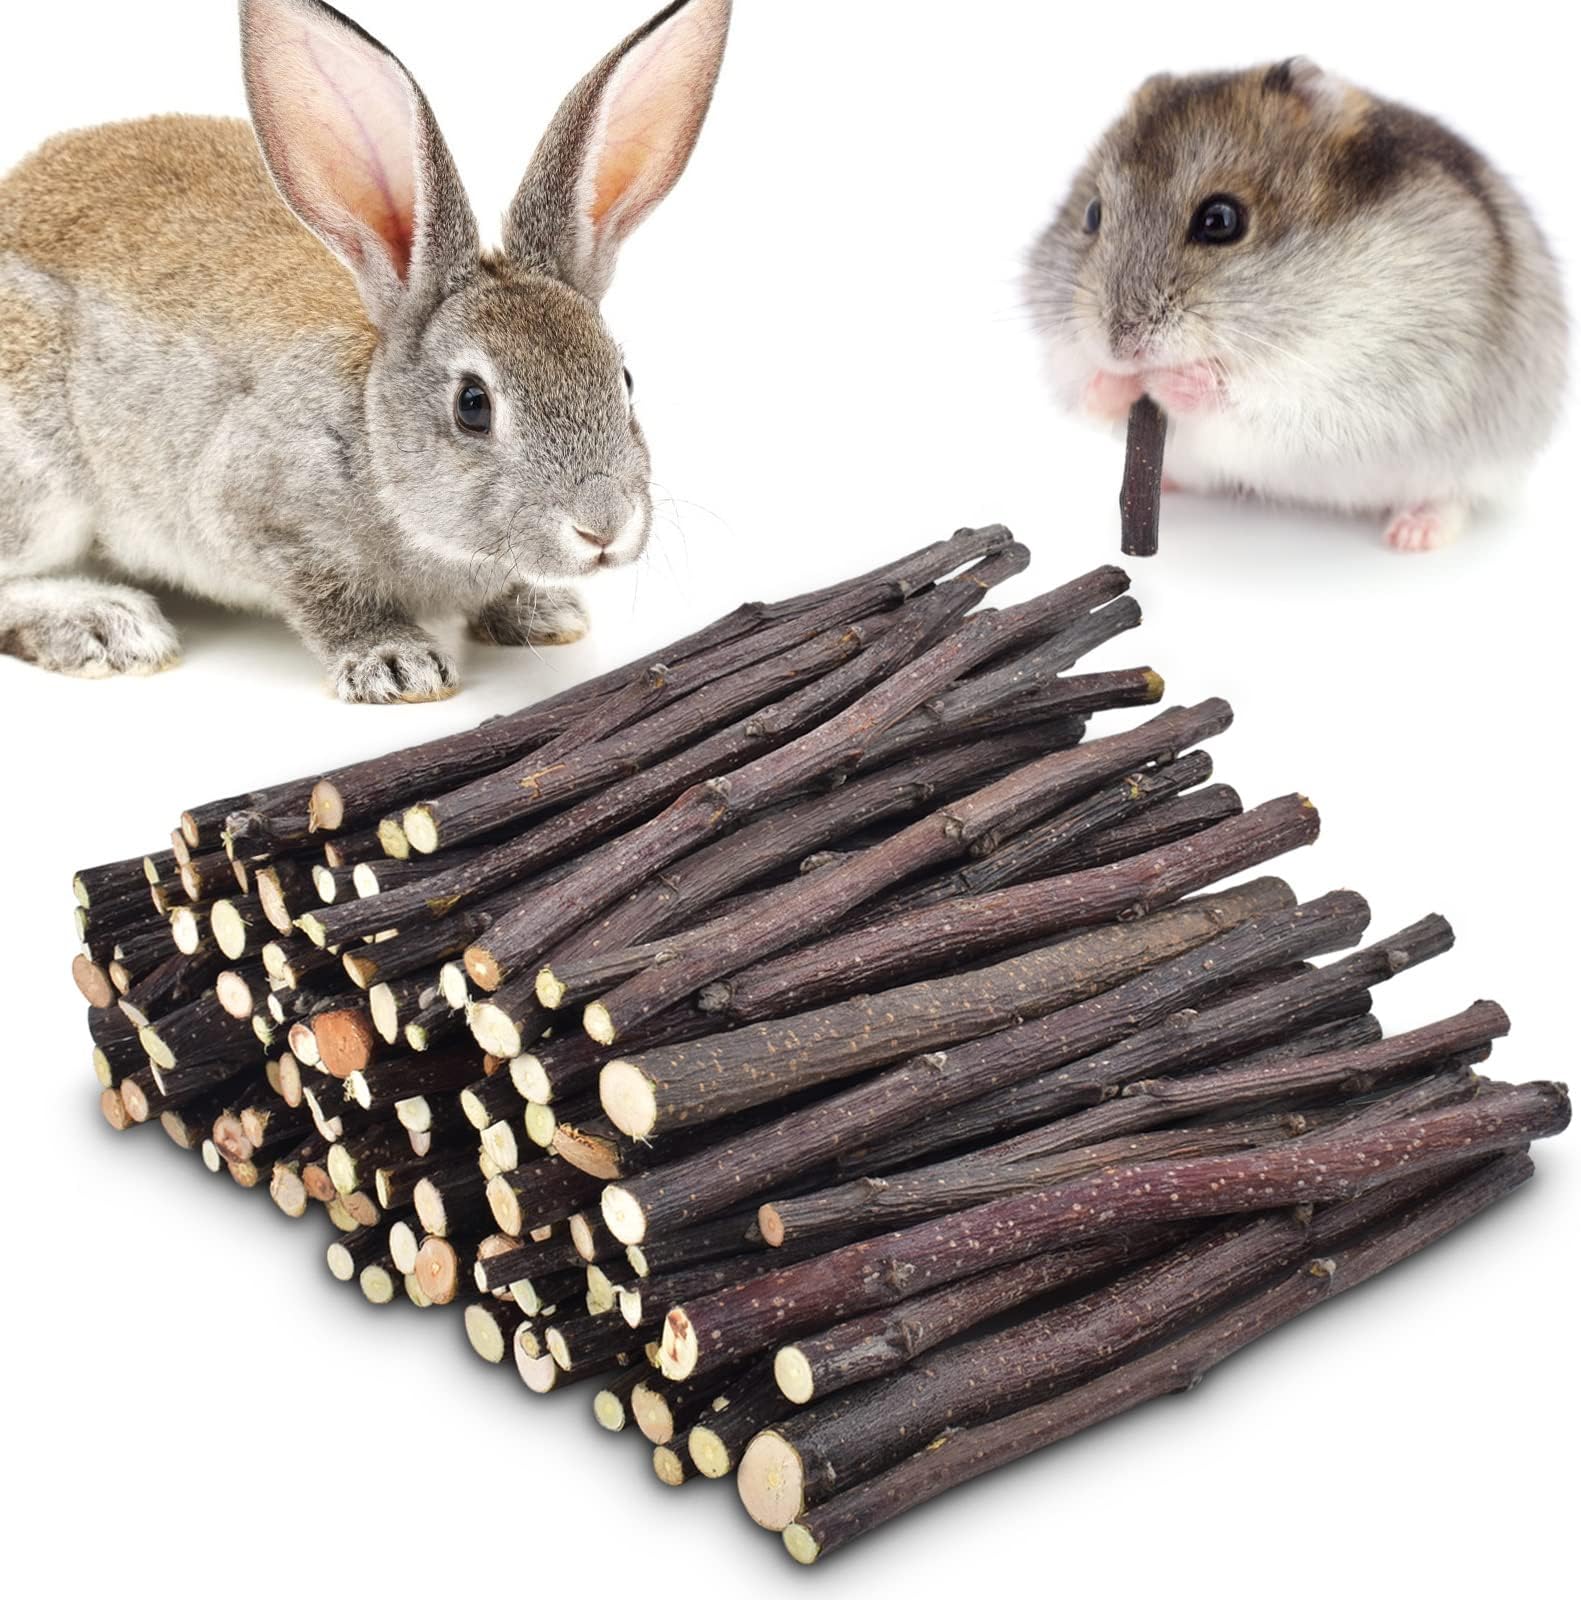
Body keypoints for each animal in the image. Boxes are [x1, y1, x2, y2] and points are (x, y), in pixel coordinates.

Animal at [0, 0, 732, 700]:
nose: (603, 527)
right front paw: (396, 663)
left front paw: (540, 612)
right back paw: (105, 624)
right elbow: (329, 595)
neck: (374, 435)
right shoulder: (255, 510)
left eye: (625, 379)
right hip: (39, 474)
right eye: (473, 405)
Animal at [1025, 59, 1568, 552]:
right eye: (1092, 214)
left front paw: (1169, 380)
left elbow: (1250, 397)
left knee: (1453, 497)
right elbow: (1085, 388)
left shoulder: (1351, 382)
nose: (1121, 347)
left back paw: (1413, 535)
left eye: (1221, 219)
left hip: (1481, 457)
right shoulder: (1063, 357)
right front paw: (1115, 383)